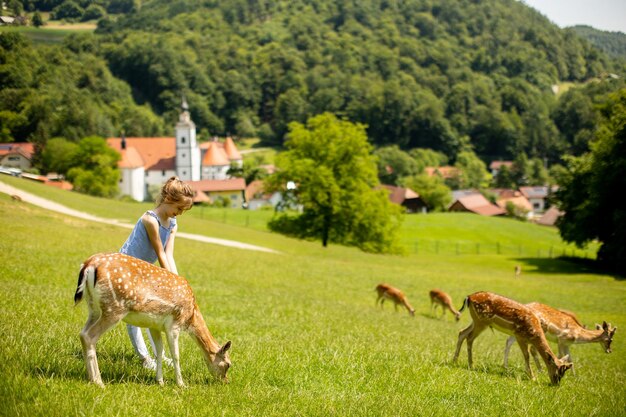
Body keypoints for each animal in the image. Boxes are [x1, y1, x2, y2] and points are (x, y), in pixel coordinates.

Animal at [75, 252, 232, 388]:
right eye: (228, 364)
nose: (226, 381)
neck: (191, 315)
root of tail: (89, 265)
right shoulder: (174, 325)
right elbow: (176, 355)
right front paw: (181, 384)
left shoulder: (154, 325)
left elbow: (159, 351)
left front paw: (160, 381)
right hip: (114, 308)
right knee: (89, 336)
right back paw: (98, 381)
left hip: (93, 307)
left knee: (83, 333)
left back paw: (91, 378)